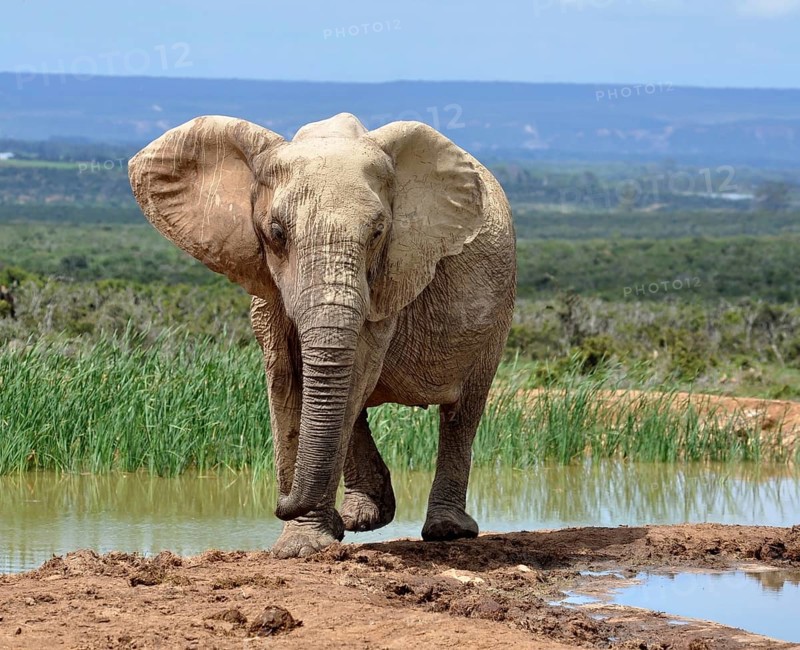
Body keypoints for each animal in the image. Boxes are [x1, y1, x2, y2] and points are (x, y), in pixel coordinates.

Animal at [128, 113, 516, 558]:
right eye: (277, 232)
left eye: (378, 233)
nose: (279, 501)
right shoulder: (268, 286)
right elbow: (285, 378)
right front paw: (301, 542)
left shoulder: (387, 282)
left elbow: (353, 374)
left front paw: (305, 541)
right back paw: (364, 518)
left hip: (497, 313)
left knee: (462, 411)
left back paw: (447, 530)